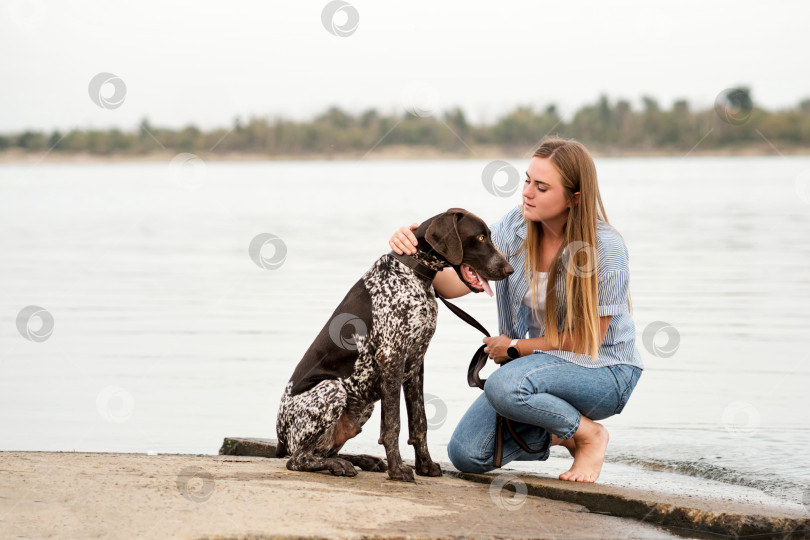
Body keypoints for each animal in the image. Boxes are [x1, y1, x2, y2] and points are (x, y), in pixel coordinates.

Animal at [274, 208, 512, 480]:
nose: (509, 269)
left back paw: (361, 460)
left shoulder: (415, 363)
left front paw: (425, 465)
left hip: (360, 407)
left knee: (323, 451)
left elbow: (419, 422)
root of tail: (280, 439)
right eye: (480, 238)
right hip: (332, 389)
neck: (413, 272)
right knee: (298, 459)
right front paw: (397, 469)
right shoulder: (392, 357)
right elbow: (393, 424)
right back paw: (338, 465)